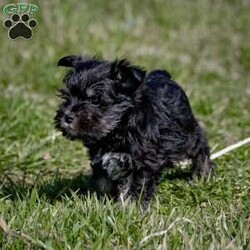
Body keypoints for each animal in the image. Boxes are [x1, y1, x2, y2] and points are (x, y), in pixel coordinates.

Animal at [54, 55, 213, 206]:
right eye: (67, 97)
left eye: (95, 100)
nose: (67, 116)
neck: (118, 129)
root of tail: (163, 75)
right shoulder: (101, 161)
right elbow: (103, 183)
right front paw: (100, 203)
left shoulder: (143, 163)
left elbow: (136, 188)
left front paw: (129, 209)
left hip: (186, 135)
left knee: (201, 146)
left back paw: (202, 175)